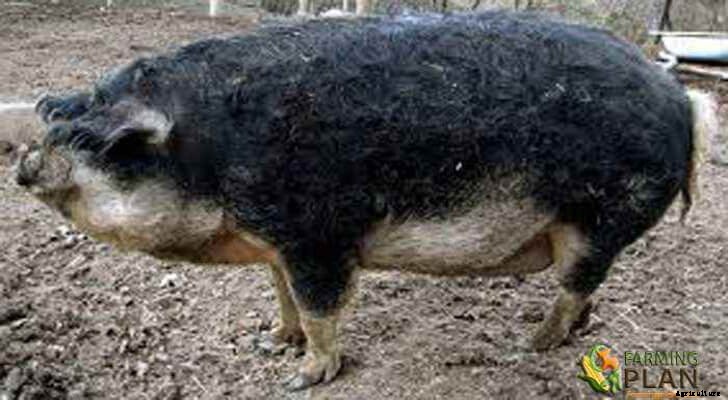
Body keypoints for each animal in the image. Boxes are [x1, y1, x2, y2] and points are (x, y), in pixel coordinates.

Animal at [14, 12, 718, 390]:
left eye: (107, 145)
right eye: (59, 123)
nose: (24, 165)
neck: (211, 147)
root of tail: (684, 99)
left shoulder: (316, 233)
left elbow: (321, 308)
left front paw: (300, 378)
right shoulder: (277, 242)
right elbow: (284, 298)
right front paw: (268, 344)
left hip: (601, 216)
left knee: (576, 284)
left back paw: (527, 346)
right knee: (589, 292)